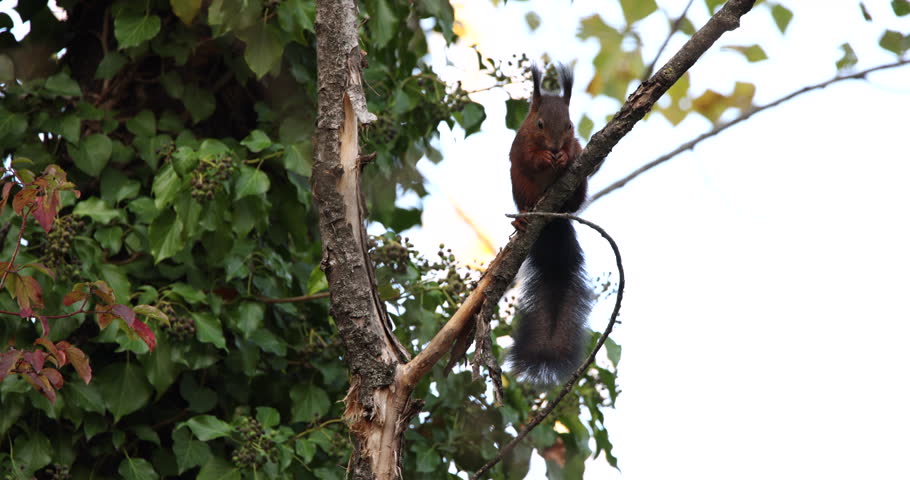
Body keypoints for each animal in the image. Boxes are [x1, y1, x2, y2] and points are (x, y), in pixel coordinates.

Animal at [507, 64, 592, 385]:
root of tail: (554, 223)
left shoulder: (577, 142)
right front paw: (545, 157)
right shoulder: (520, 145)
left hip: (579, 192)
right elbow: (530, 159)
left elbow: (576, 152)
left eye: (569, 125)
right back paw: (522, 218)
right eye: (540, 123)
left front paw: (565, 156)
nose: (556, 147)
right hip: (520, 189)